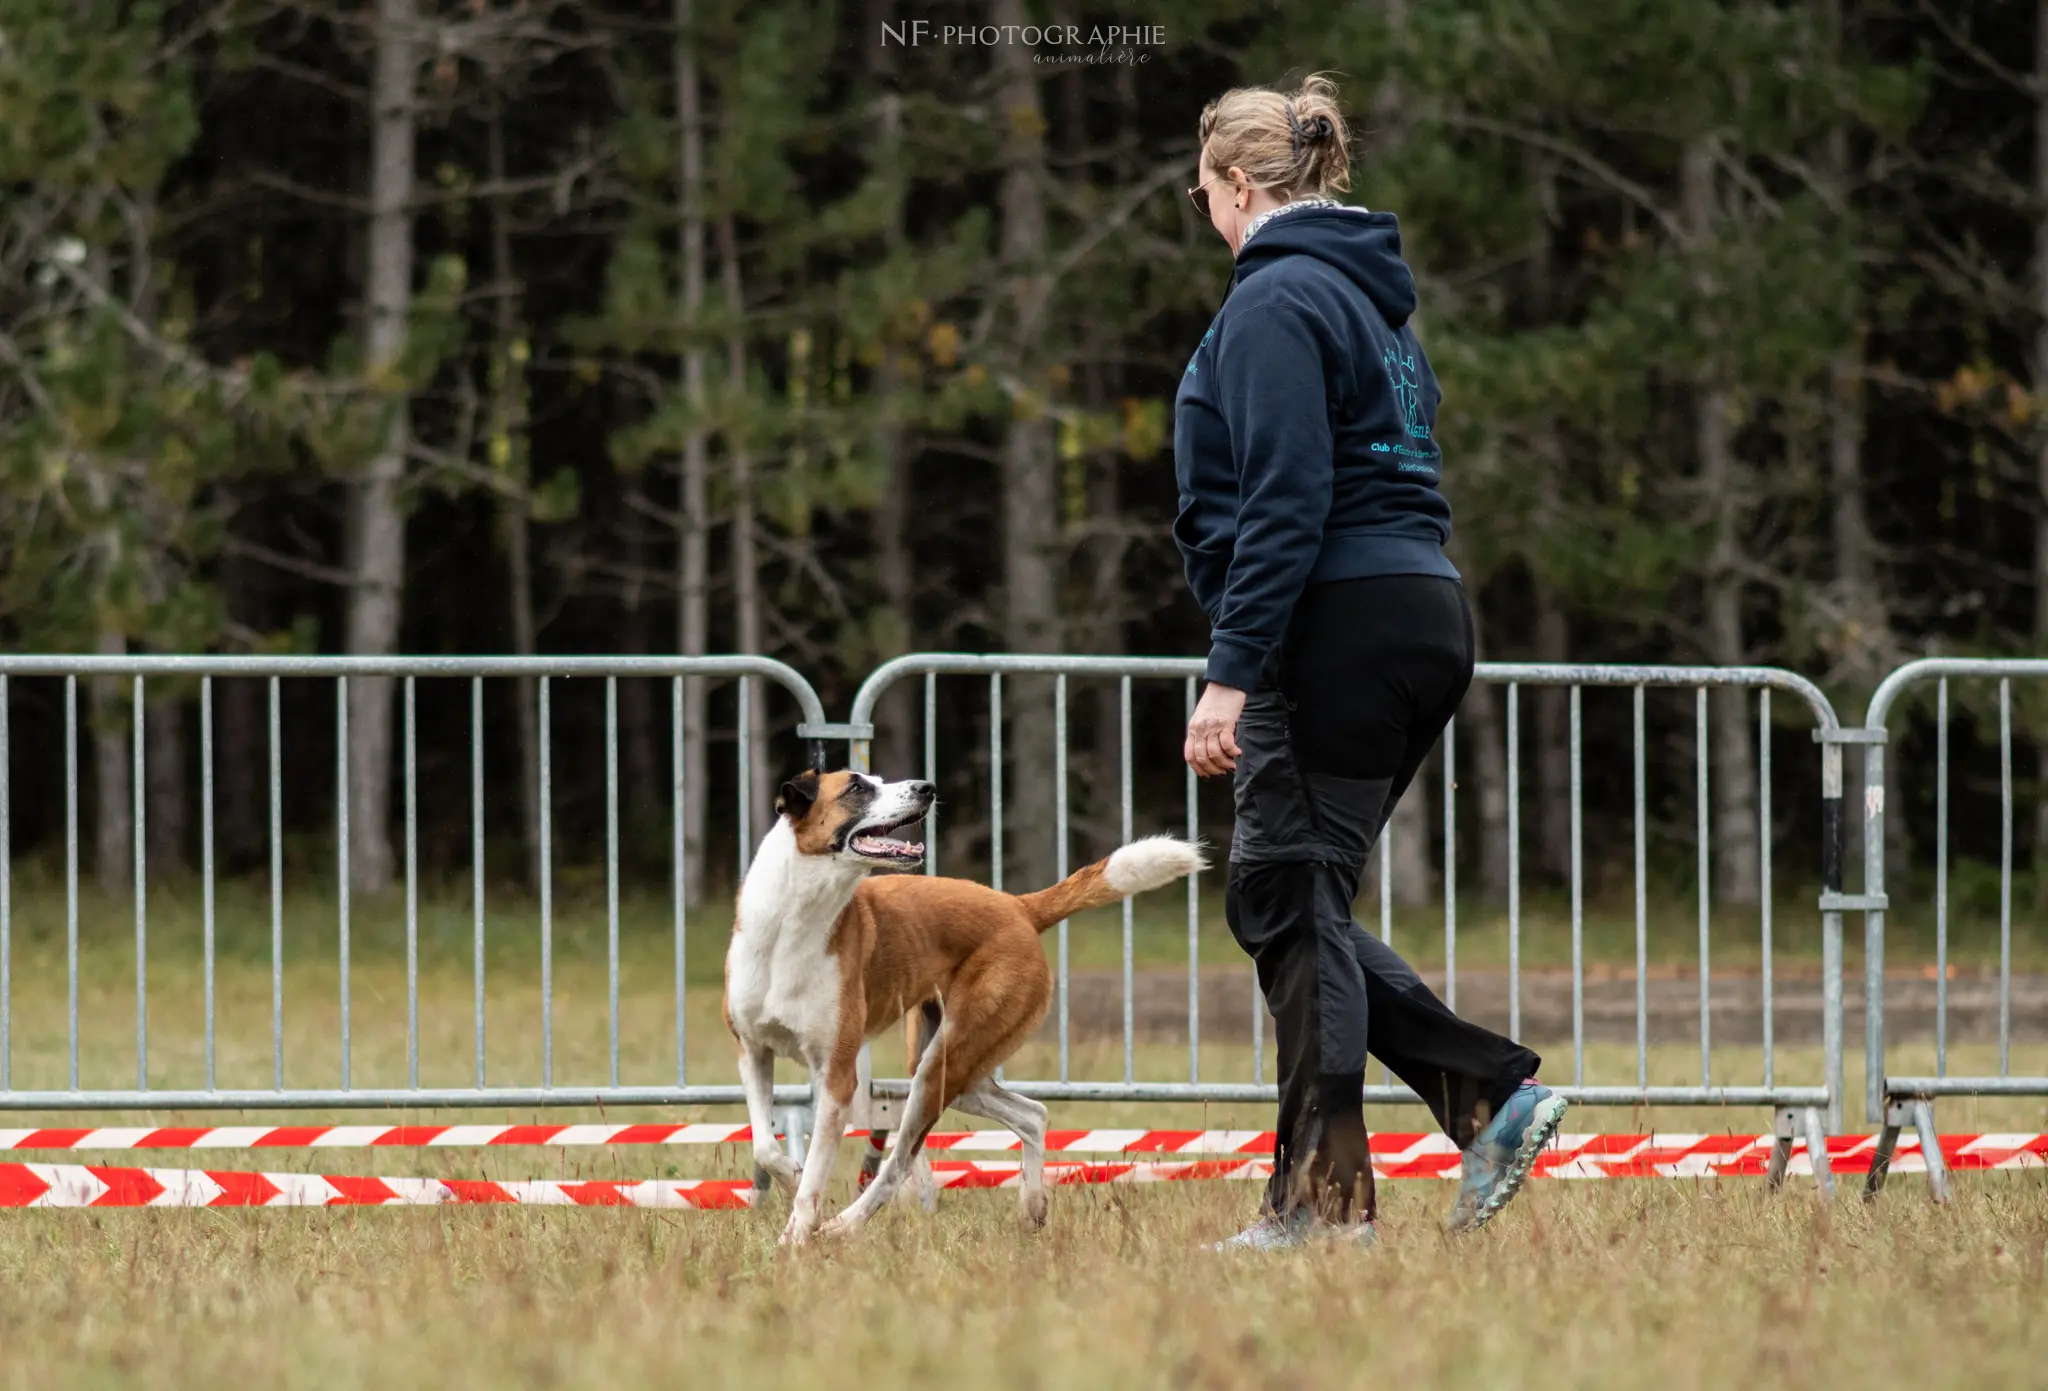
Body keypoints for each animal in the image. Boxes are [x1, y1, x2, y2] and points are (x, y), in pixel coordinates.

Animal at [724, 766, 1204, 1245]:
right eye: (857, 786)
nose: (926, 788)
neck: (792, 924)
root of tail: (1018, 907)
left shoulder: (838, 1076)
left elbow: (815, 1178)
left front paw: (795, 1237)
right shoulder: (752, 1052)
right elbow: (765, 1146)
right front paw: (790, 1176)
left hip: (941, 1067)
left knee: (899, 1162)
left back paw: (844, 1225)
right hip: (951, 1063)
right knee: (1033, 1114)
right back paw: (1033, 1206)